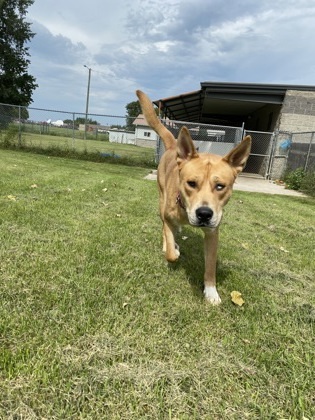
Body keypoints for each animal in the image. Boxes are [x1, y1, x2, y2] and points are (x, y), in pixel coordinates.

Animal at [136, 90, 252, 304]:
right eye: (191, 183)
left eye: (220, 186)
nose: (204, 214)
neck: (184, 208)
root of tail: (173, 146)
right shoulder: (168, 216)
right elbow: (171, 251)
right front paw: (173, 248)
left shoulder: (213, 233)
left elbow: (210, 267)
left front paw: (211, 291)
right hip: (161, 201)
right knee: (164, 227)